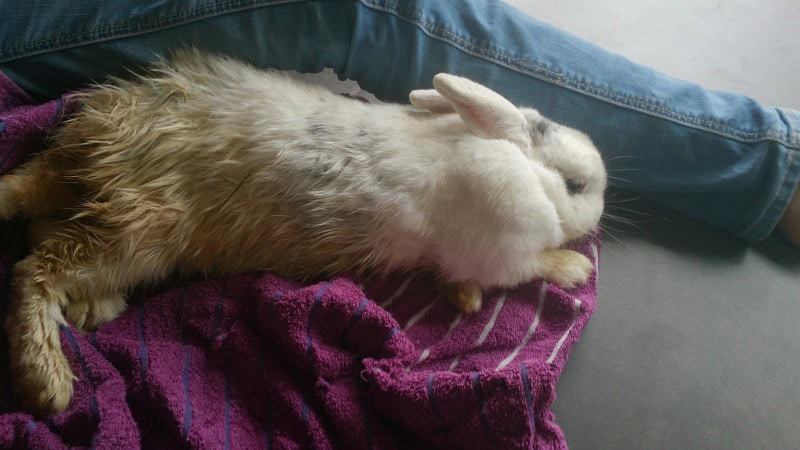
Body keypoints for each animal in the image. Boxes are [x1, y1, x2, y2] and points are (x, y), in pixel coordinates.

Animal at [0, 50, 606, 415]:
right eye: (576, 185)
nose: (601, 208)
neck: (521, 164)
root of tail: (101, 149)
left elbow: (458, 279)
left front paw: (466, 297)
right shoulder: (504, 249)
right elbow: (531, 264)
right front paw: (575, 268)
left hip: (95, 203)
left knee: (35, 219)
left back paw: (92, 307)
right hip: (140, 233)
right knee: (33, 270)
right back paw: (50, 383)